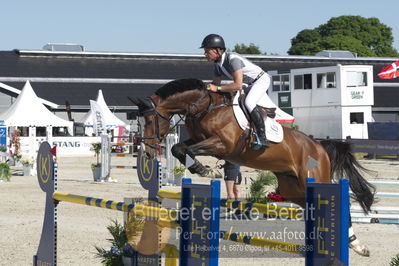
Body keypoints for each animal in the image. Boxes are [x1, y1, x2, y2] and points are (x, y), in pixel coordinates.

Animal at [130, 77, 376, 256]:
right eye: (138, 122)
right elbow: (178, 149)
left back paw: (357, 245)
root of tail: (319, 146)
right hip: (292, 187)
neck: (205, 107)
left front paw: (206, 170)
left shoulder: (222, 144)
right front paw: (200, 169)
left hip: (313, 178)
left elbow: (187, 150)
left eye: (150, 121)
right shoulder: (199, 140)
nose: (148, 152)